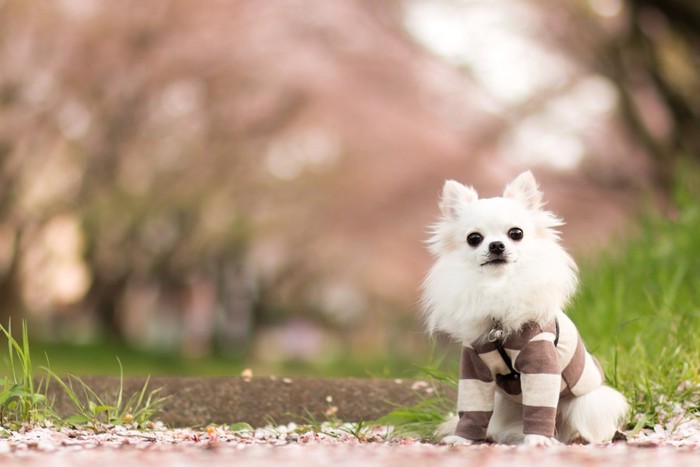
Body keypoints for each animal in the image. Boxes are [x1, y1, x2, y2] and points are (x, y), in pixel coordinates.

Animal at [422, 171, 628, 446]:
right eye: (474, 239)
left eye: (516, 233)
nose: (496, 245)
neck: (498, 287)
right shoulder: (475, 370)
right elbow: (472, 409)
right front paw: (462, 439)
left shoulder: (540, 364)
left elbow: (540, 408)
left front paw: (538, 440)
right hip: (503, 404)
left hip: (589, 403)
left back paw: (574, 437)